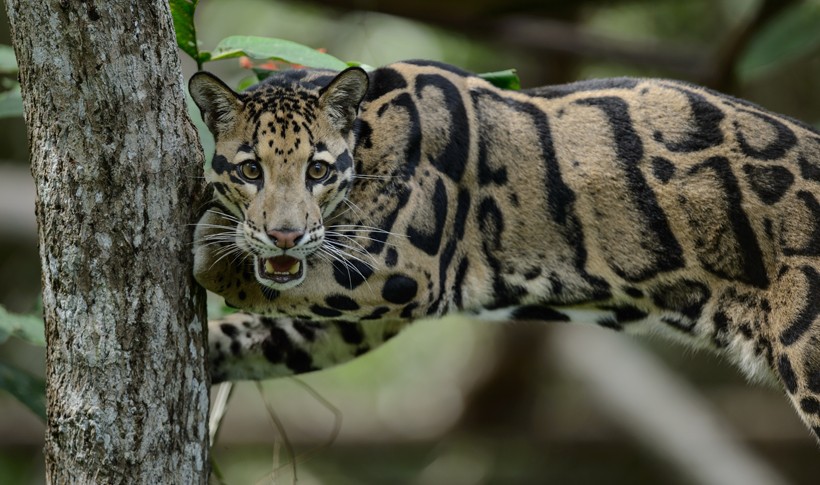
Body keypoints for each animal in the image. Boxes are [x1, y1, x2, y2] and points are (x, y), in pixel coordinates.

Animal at [189, 59, 820, 438]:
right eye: (249, 169)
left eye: (317, 170)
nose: (285, 234)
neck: (366, 139)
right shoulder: (354, 321)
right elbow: (265, 334)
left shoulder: (402, 266)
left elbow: (265, 281)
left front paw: (214, 252)